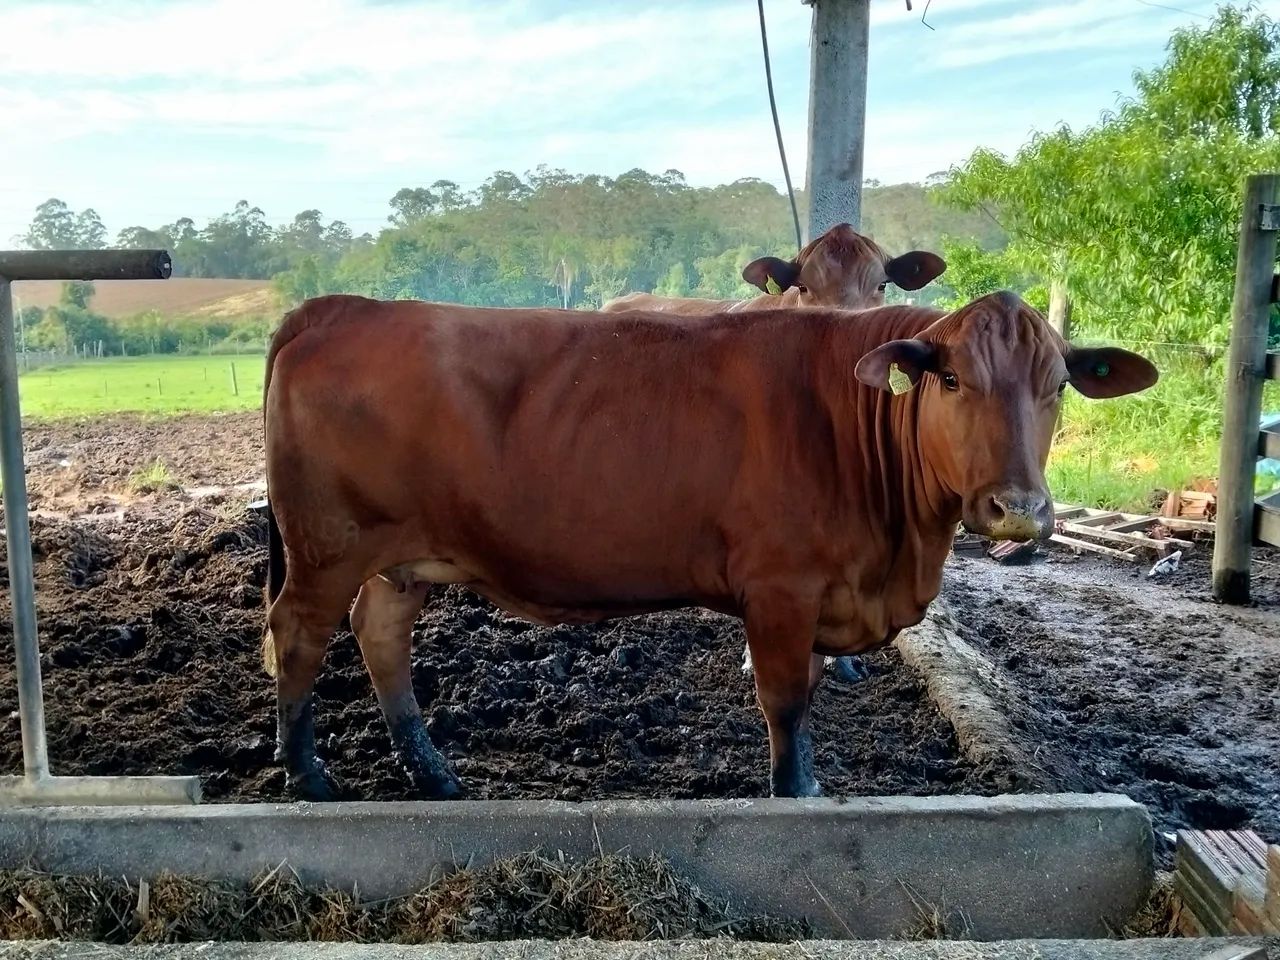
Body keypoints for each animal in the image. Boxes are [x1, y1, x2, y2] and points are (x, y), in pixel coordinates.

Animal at [261, 291, 1156, 801]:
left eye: (1057, 386)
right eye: (951, 379)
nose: (1019, 511)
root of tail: (342, 306)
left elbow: (809, 695)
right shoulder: (781, 590)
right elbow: (785, 702)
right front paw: (796, 792)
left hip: (401, 558)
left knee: (380, 637)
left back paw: (433, 773)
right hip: (327, 547)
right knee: (298, 636)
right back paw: (308, 776)